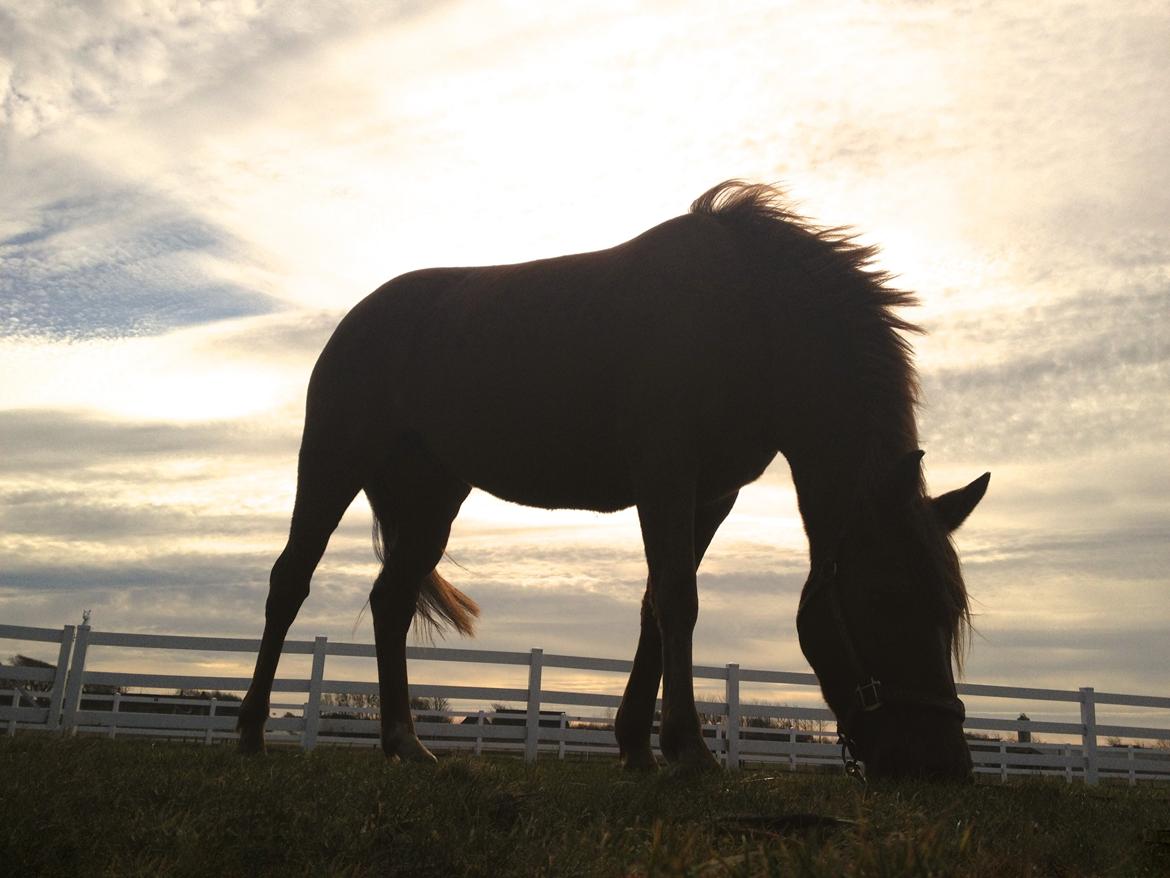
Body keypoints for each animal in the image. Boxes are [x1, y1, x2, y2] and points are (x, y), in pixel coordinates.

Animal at [237, 181, 989, 780]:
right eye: (890, 599)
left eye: (948, 611)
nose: (942, 767)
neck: (753, 316)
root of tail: (361, 316)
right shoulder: (666, 478)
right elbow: (678, 600)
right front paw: (689, 750)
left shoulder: (710, 497)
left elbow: (656, 605)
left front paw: (636, 746)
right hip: (332, 465)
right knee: (290, 582)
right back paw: (250, 734)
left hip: (431, 499)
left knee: (390, 601)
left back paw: (405, 743)